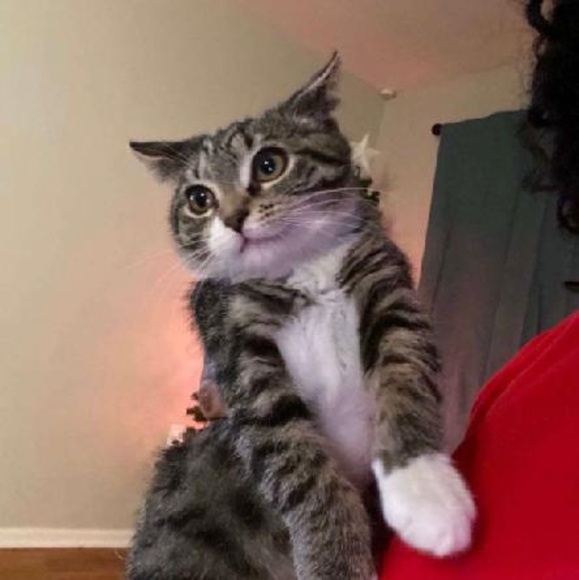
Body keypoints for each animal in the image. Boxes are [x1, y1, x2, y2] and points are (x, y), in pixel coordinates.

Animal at [126, 53, 475, 580]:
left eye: (269, 164)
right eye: (199, 199)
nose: (233, 218)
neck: (302, 271)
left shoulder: (385, 279)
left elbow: (404, 363)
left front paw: (425, 491)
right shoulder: (233, 341)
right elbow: (293, 454)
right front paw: (338, 561)